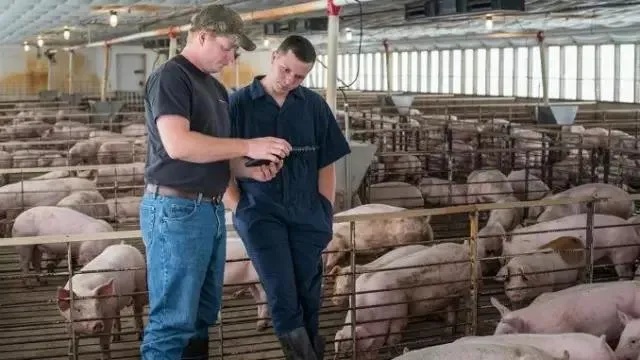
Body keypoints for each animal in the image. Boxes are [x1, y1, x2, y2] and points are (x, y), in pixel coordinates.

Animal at [332, 242, 472, 360]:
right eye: (346, 356)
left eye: (363, 348)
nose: (334, 300)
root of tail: (463, 247)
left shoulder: (400, 312)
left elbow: (393, 338)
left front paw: (391, 352)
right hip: (452, 295)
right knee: (453, 308)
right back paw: (447, 332)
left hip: (466, 288)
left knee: (467, 306)